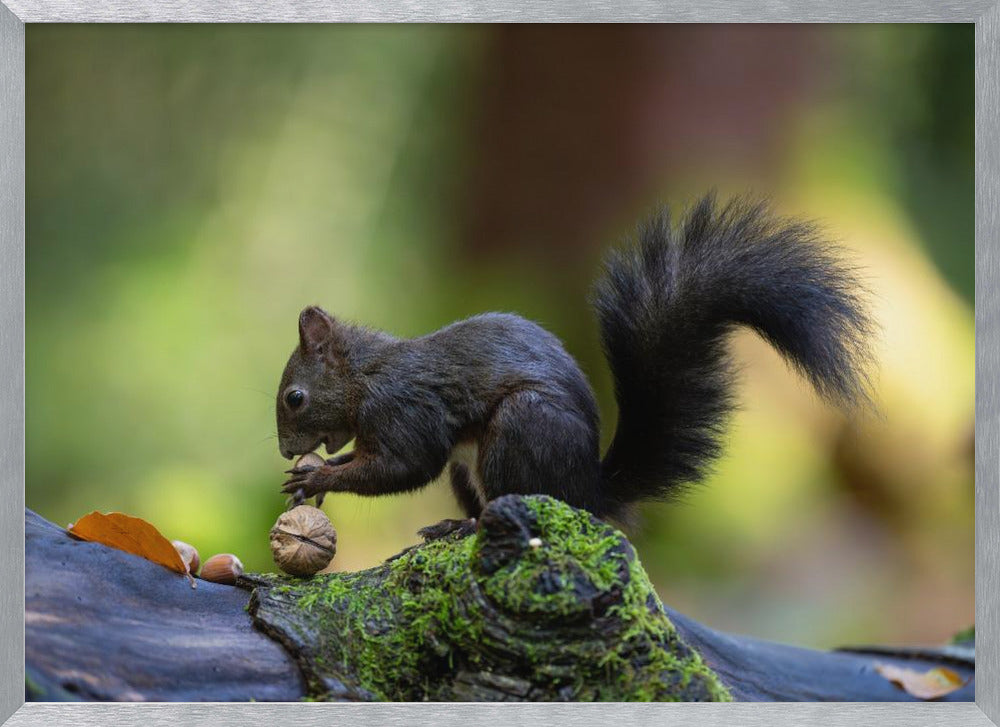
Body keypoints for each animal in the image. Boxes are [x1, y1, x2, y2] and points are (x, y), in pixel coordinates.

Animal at [277, 193, 873, 526]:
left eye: (295, 398)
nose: (285, 450)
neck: (365, 377)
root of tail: (588, 490)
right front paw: (316, 470)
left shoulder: (403, 410)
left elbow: (403, 466)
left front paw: (319, 476)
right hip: (469, 469)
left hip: (522, 430)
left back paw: (465, 529)